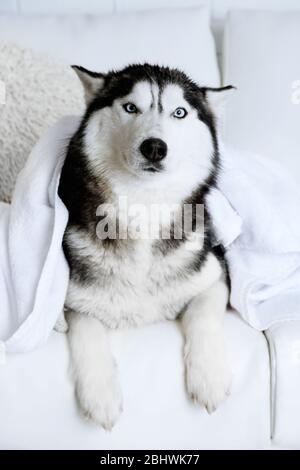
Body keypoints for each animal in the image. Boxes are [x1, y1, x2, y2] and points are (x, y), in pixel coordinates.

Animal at [59, 63, 234, 430]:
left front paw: (208, 376)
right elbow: (86, 327)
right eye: (130, 107)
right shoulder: (71, 296)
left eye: (179, 112)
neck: (144, 207)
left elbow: (203, 312)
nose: (155, 147)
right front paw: (100, 393)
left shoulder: (216, 272)